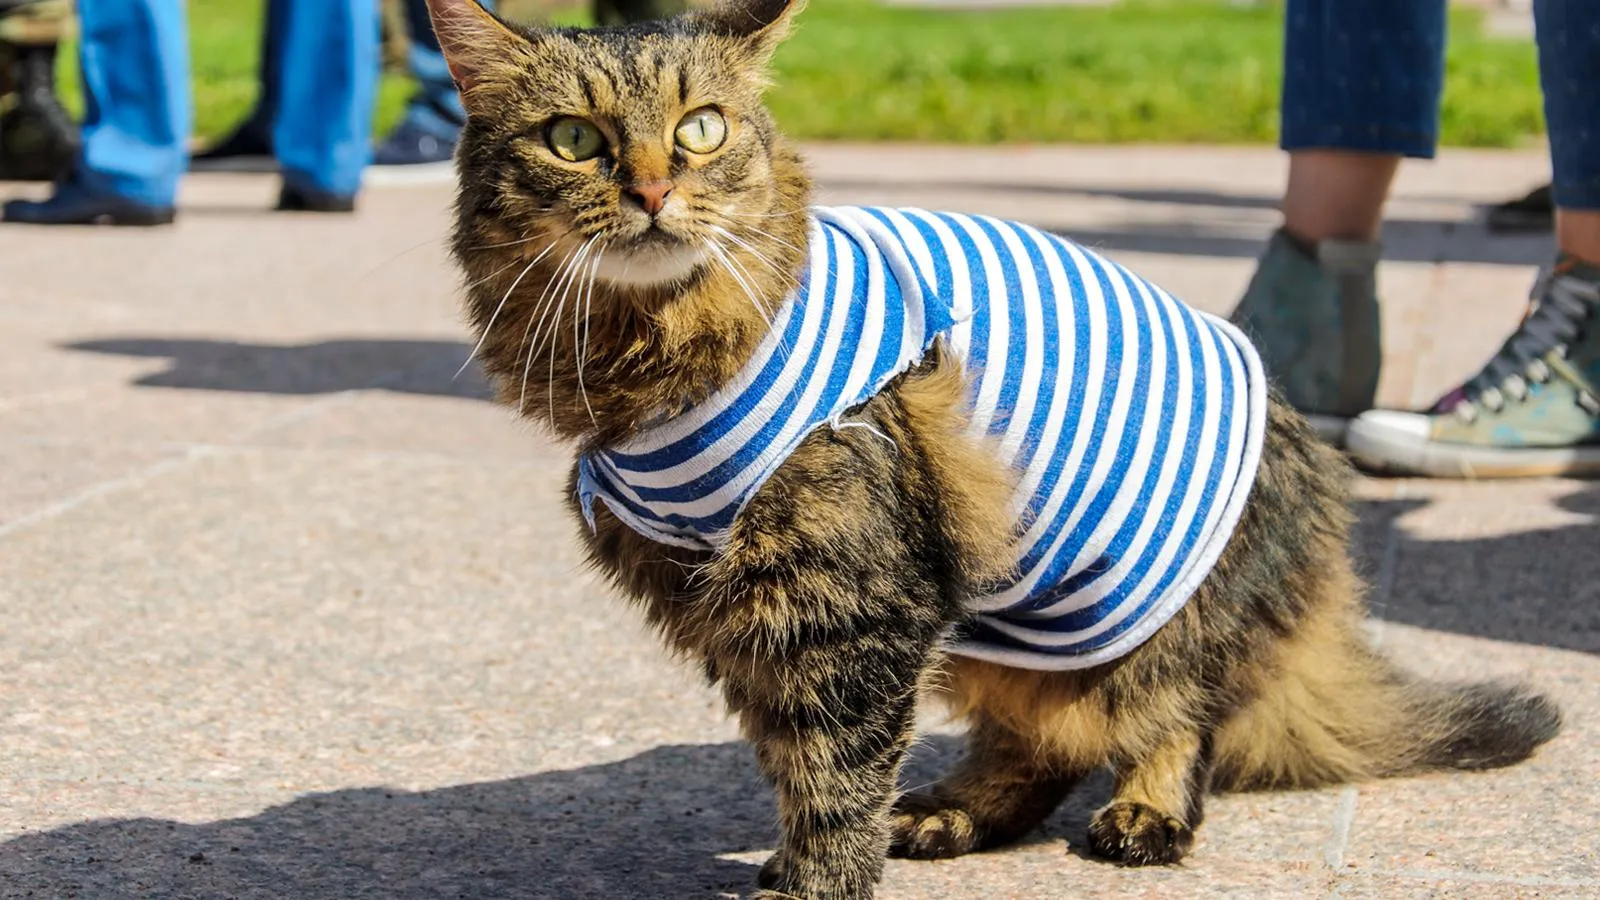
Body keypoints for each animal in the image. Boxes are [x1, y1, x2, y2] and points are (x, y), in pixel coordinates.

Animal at [422, 1, 1561, 896]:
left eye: (701, 129)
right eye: (574, 139)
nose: (654, 192)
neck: (645, 360)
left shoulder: (849, 592)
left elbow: (832, 768)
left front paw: (816, 885)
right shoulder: (738, 604)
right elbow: (793, 756)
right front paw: (798, 861)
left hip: (1148, 619)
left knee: (1173, 719)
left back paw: (1141, 816)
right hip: (1001, 622)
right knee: (1045, 745)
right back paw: (949, 812)